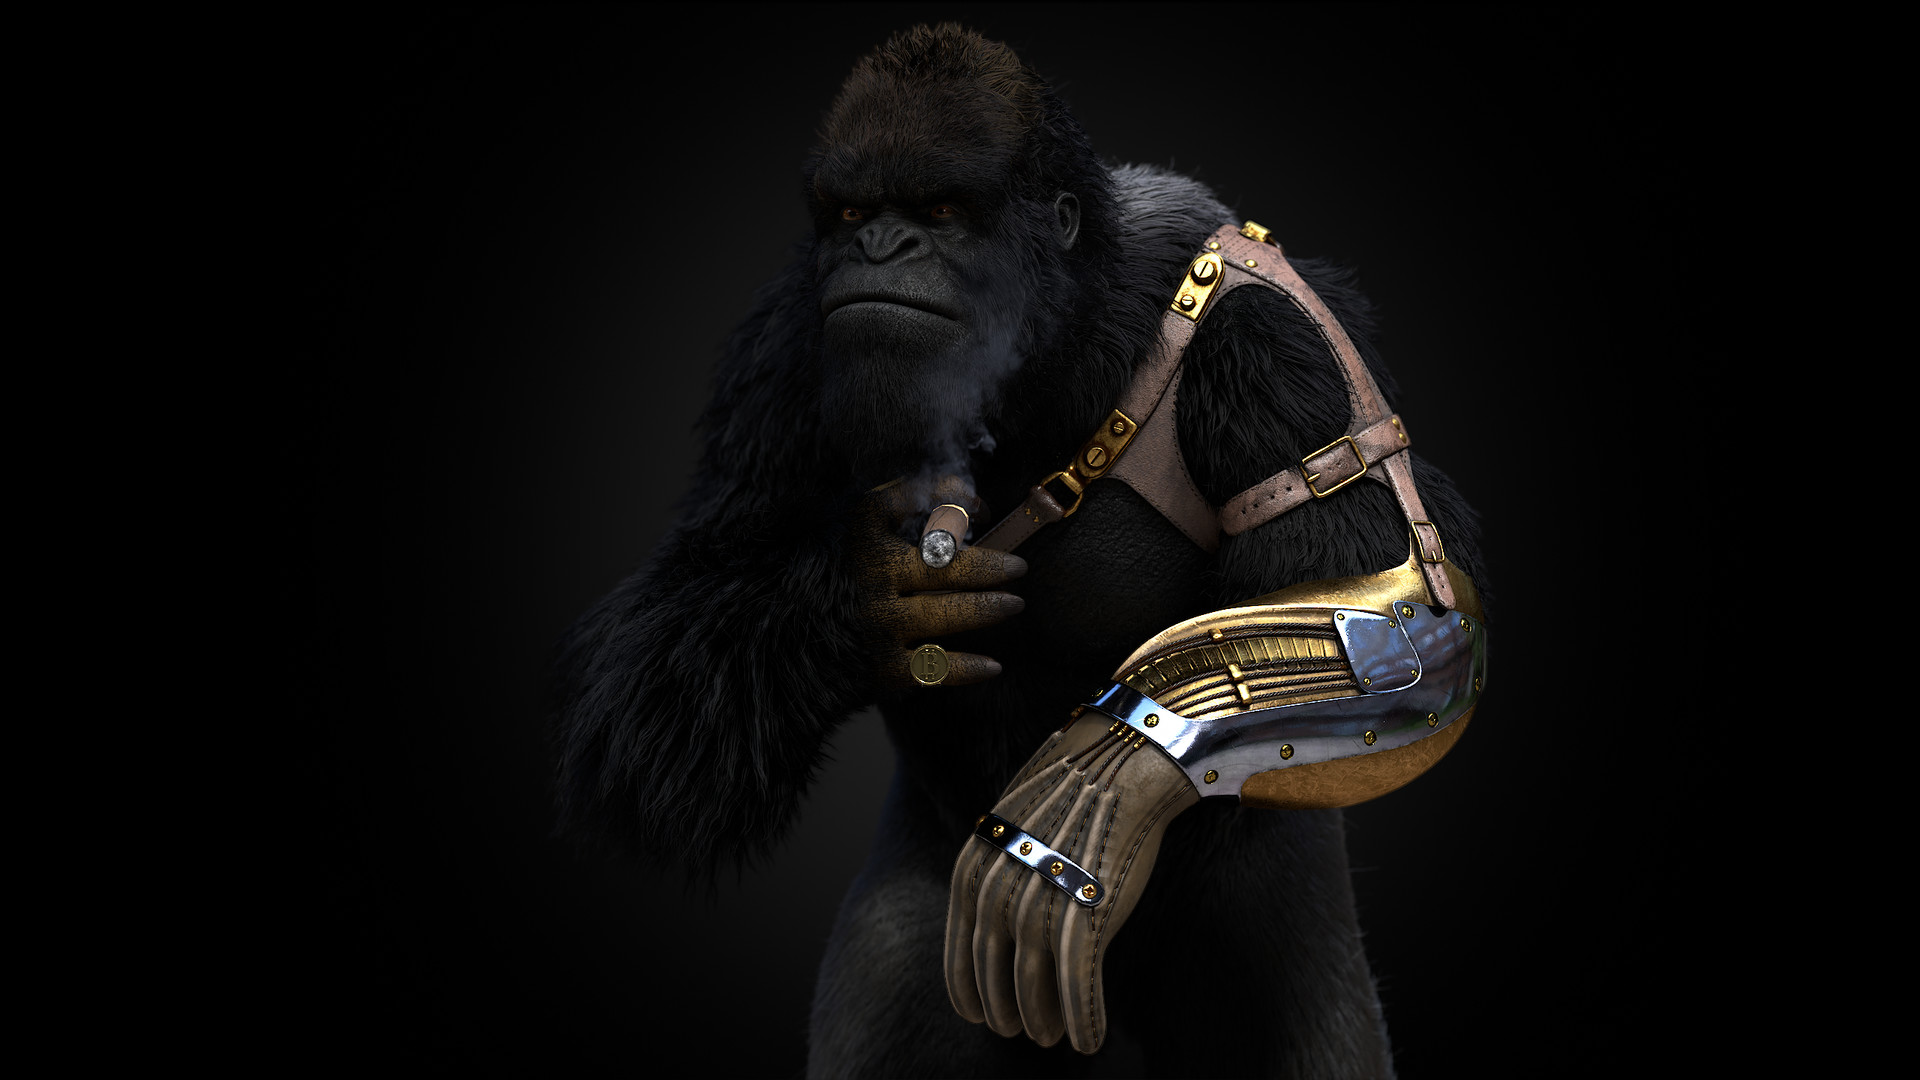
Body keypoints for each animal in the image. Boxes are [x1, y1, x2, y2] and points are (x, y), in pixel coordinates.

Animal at [550, 23, 1487, 1078]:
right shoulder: (784, 345)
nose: (879, 245)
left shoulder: (1276, 337)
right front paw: (870, 593)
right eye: (852, 212)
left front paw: (1090, 792)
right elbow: (662, 671)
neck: (1059, 340)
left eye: (941, 211)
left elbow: (1413, 618)